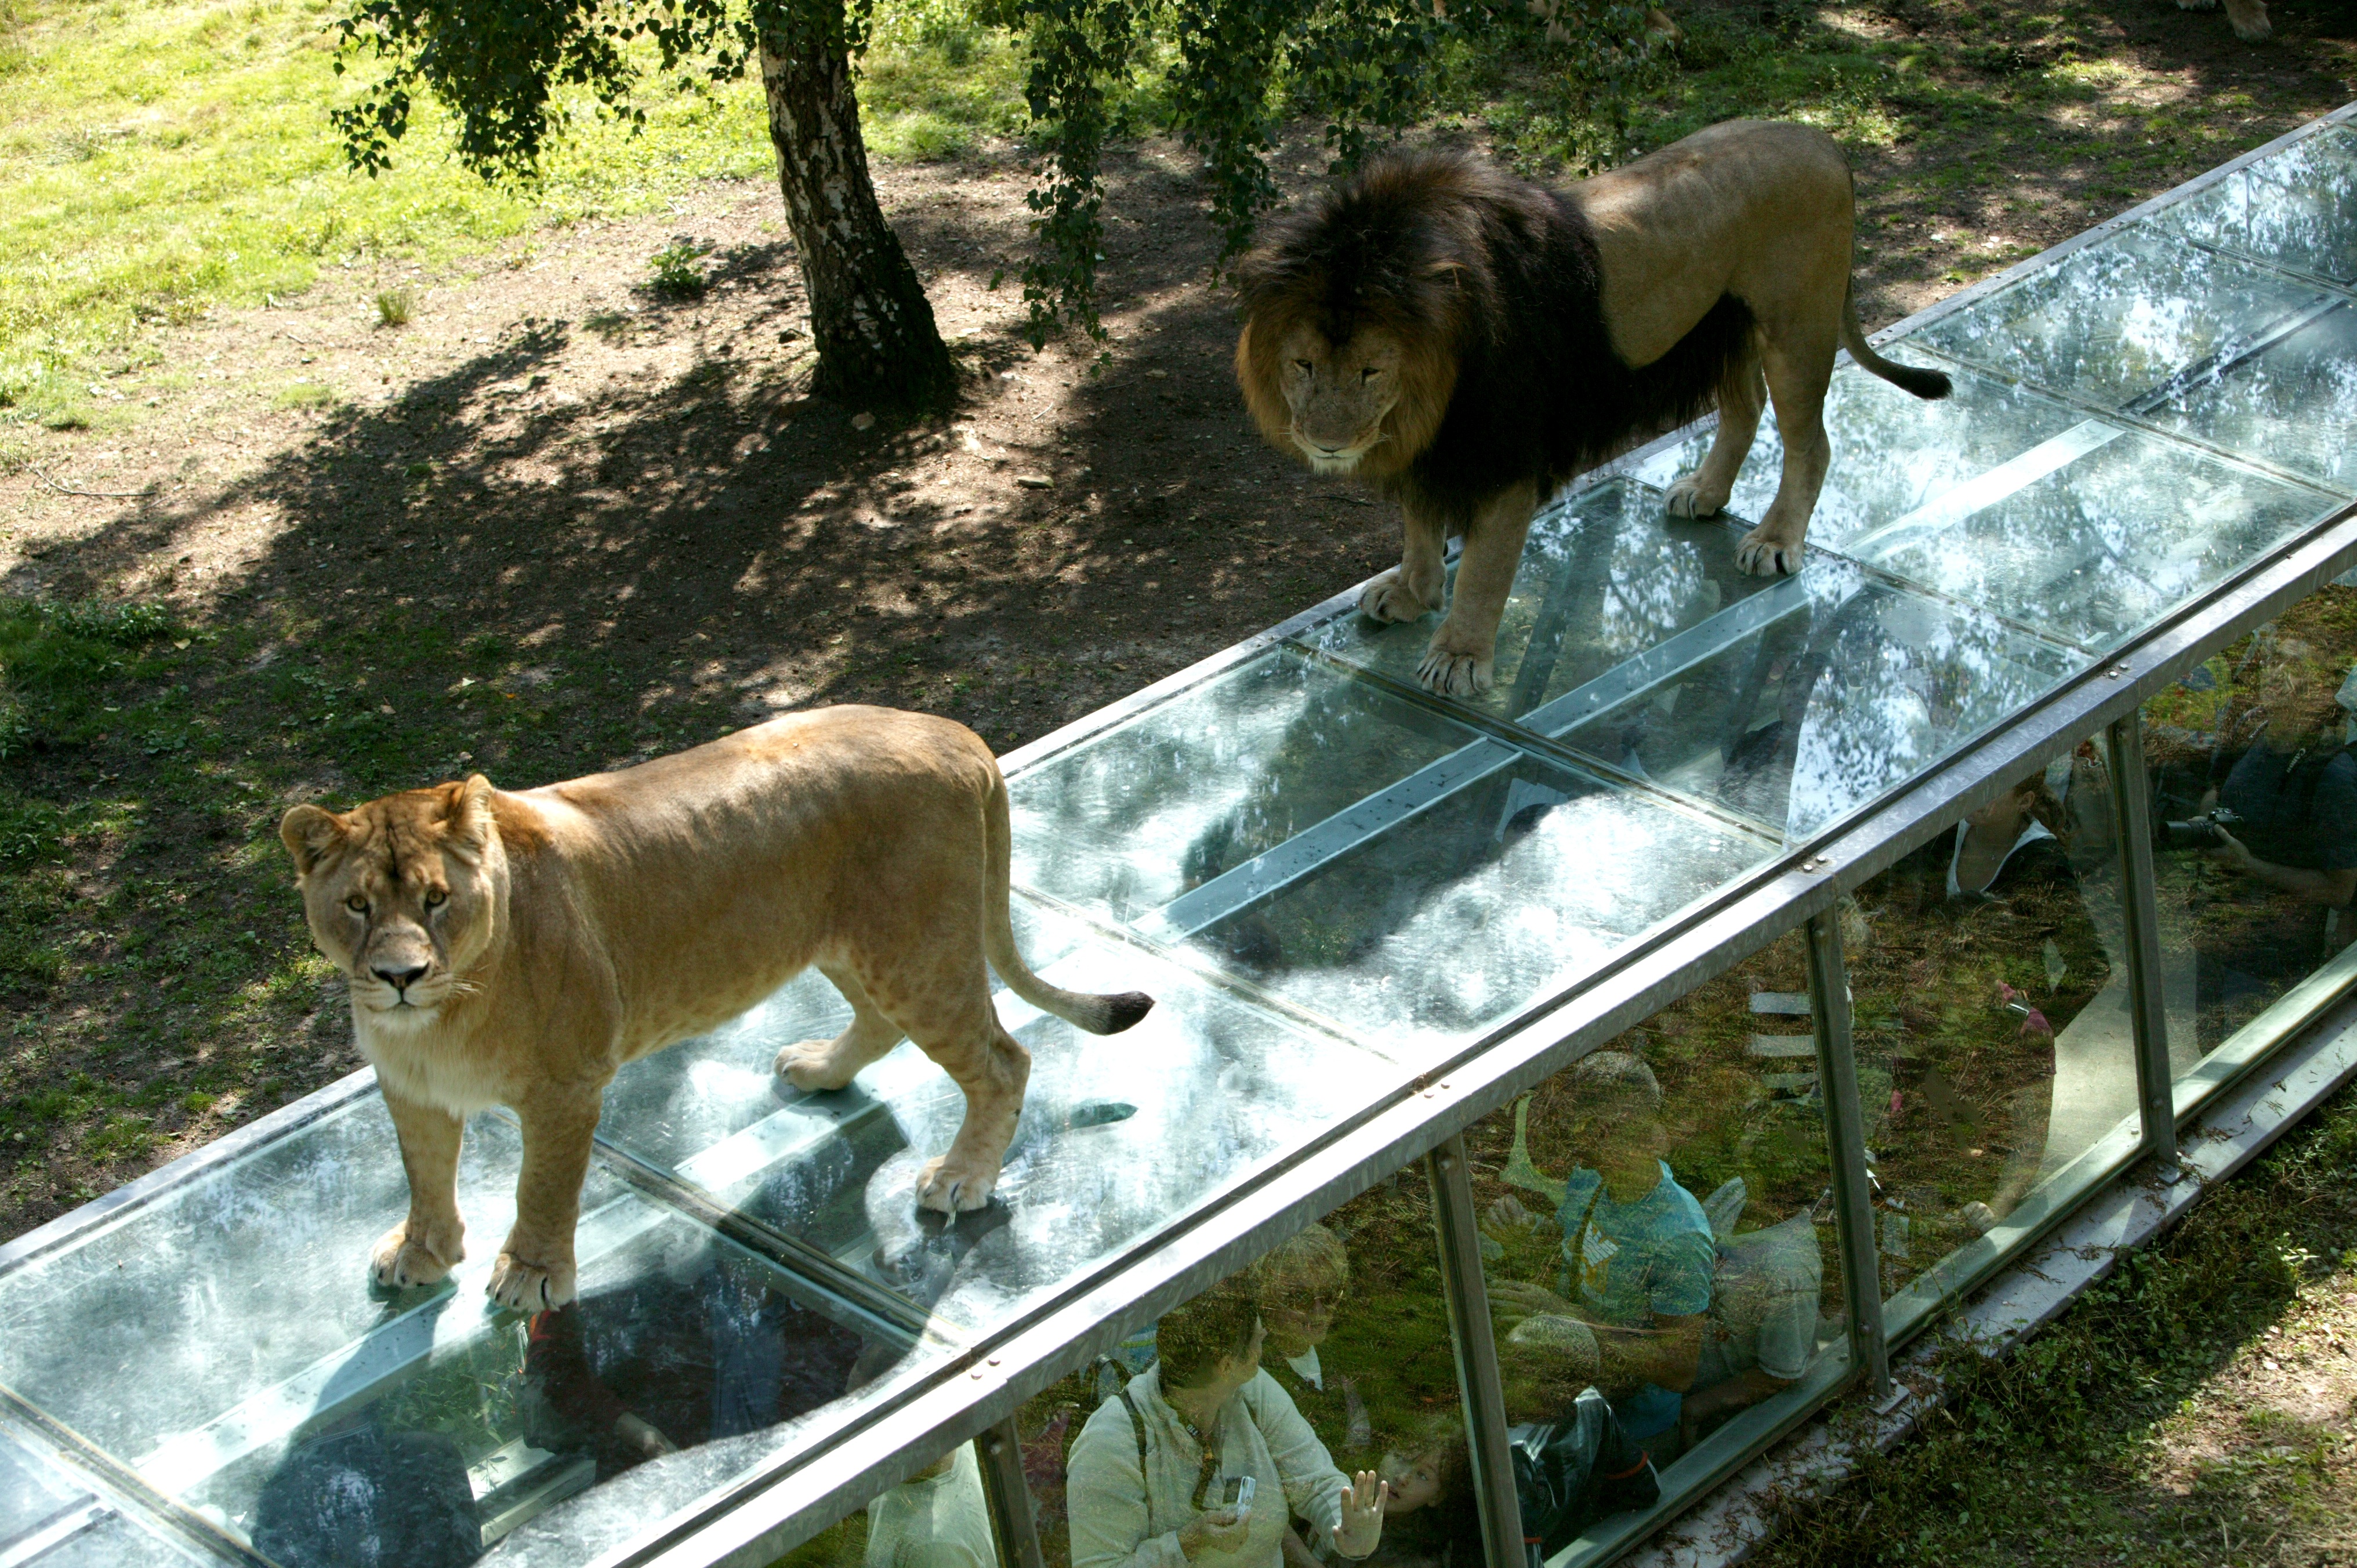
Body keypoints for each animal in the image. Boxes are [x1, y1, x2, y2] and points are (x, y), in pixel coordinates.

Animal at [280, 707, 1145, 1311]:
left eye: (437, 899)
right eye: (356, 904)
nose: (399, 974)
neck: (439, 1015)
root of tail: (951, 731)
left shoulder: (566, 1087)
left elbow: (543, 1186)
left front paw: (530, 1273)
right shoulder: (411, 1090)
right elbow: (423, 1175)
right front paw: (422, 1252)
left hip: (917, 952)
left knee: (1002, 1059)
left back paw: (963, 1177)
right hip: (852, 945)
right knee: (882, 1023)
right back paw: (820, 1070)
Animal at [1235, 116, 1951, 693]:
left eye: (1370, 370)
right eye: (1303, 364)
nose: (1326, 444)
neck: (1434, 380)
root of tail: (1823, 141)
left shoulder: (1506, 448)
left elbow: (1484, 570)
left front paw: (1459, 657)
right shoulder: (1437, 443)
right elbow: (1418, 523)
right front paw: (1411, 593)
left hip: (1795, 329)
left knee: (1812, 442)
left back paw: (1775, 540)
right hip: (1722, 327)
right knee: (1744, 409)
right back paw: (1704, 492)